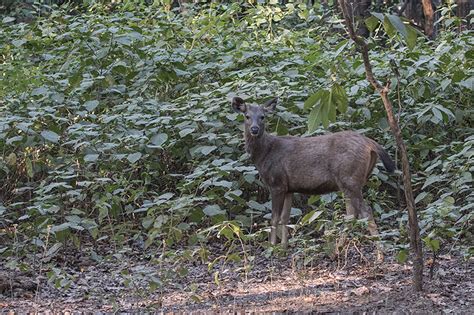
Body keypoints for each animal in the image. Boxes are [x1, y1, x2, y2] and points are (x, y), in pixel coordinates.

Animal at [231, 97, 394, 262]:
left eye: (263, 117)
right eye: (247, 116)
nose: (254, 129)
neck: (264, 154)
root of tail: (370, 143)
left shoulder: (276, 183)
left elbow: (274, 218)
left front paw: (271, 248)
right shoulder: (288, 188)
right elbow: (285, 217)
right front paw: (283, 248)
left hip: (350, 179)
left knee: (366, 212)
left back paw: (379, 255)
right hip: (349, 182)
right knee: (351, 215)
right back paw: (337, 250)